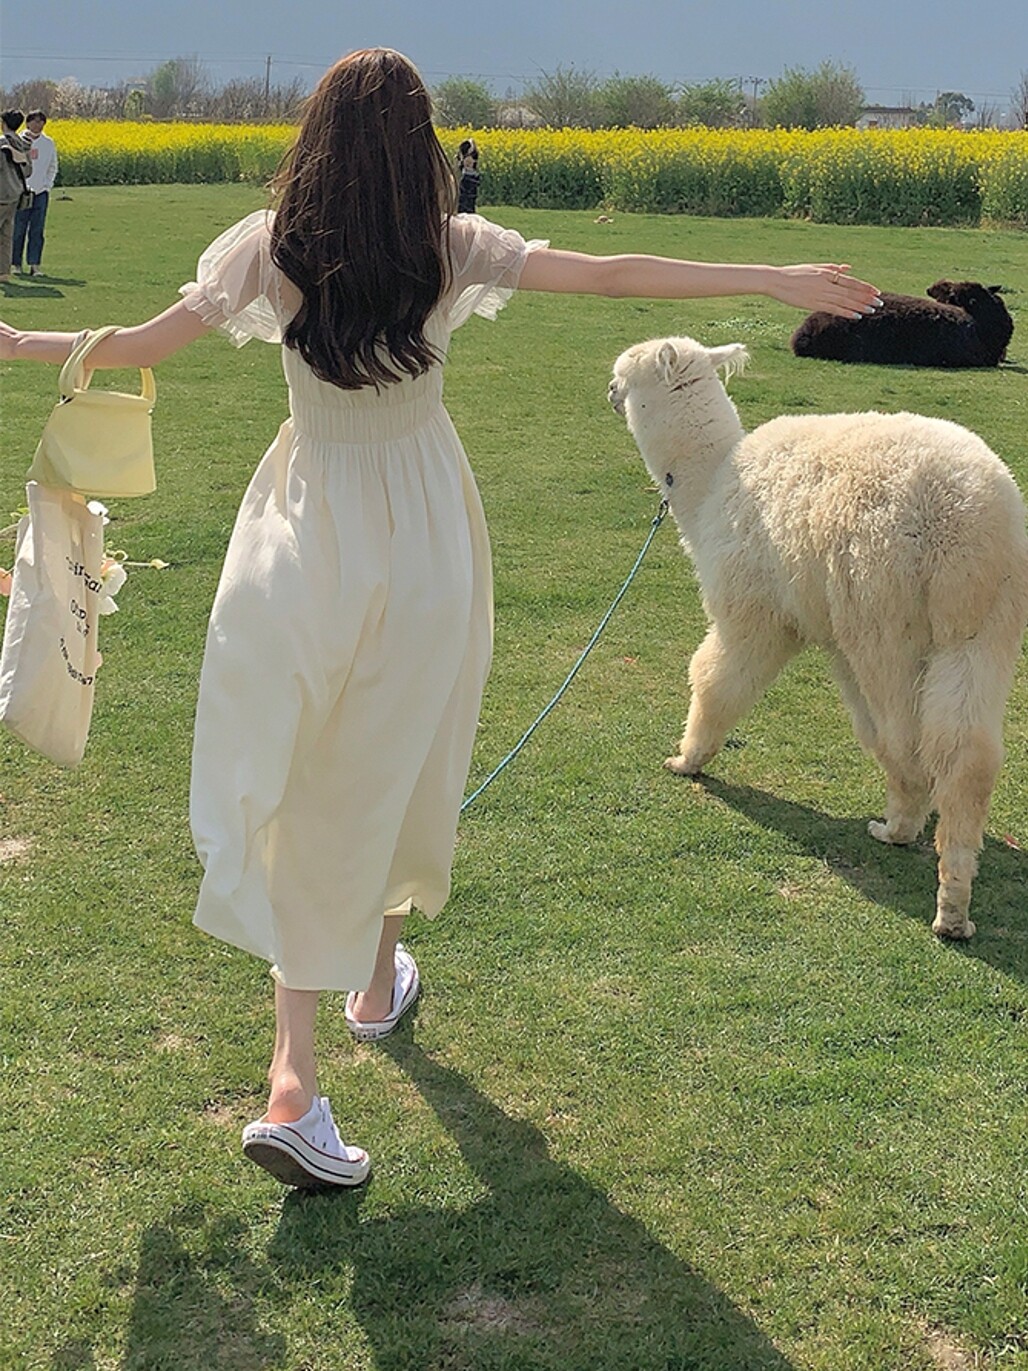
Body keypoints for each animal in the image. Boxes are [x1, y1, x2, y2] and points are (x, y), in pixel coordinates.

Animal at [609, 335, 1028, 939]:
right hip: (982, 624)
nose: (609, 392)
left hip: (883, 614)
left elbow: (714, 678)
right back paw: (954, 904)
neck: (710, 487)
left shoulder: (751, 609)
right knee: (965, 750)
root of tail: (964, 510)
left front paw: (687, 761)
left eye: (625, 373)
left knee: (904, 736)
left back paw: (899, 830)